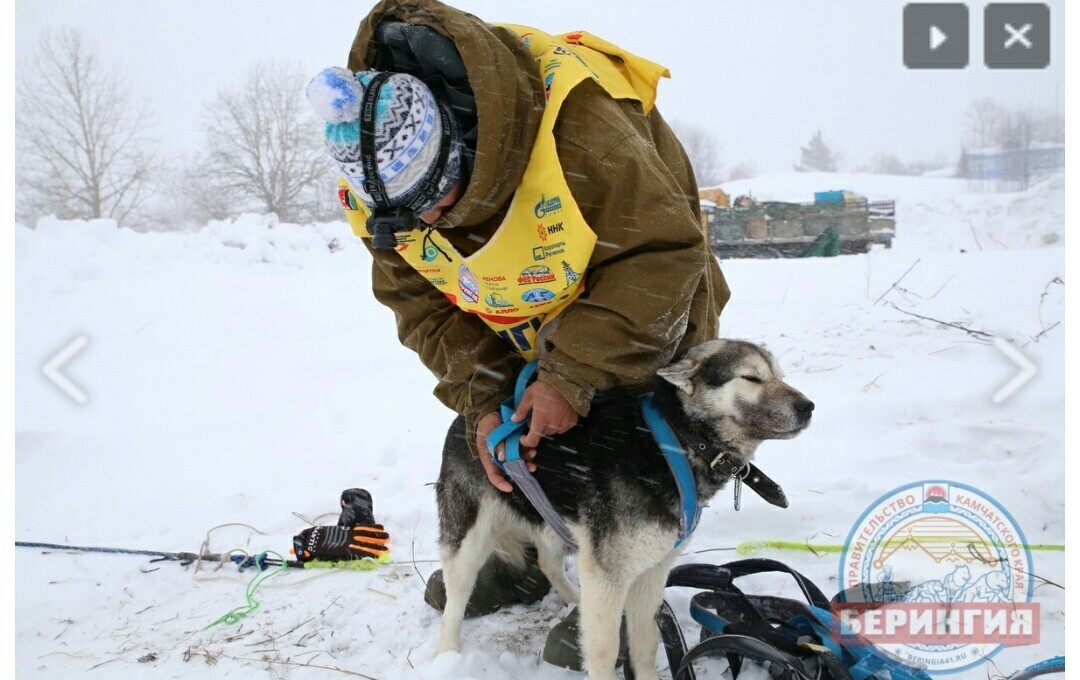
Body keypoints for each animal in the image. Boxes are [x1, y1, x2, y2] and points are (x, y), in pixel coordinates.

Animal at [434, 341, 812, 680]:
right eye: (752, 377)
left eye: (779, 376)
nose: (808, 406)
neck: (675, 442)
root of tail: (468, 420)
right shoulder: (608, 575)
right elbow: (604, 649)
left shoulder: (651, 572)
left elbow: (644, 645)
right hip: (470, 539)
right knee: (456, 597)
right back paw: (449, 656)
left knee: (547, 562)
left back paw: (575, 601)